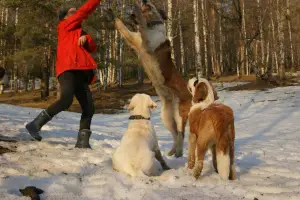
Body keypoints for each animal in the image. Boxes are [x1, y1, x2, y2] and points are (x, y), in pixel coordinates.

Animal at [104, 0, 191, 157]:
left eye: (151, 4)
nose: (144, 1)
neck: (152, 24)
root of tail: (190, 94)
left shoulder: (148, 42)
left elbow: (142, 24)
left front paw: (136, 11)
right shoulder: (133, 39)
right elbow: (121, 25)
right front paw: (111, 14)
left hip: (179, 114)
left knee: (181, 133)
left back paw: (179, 152)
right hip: (166, 117)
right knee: (175, 134)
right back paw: (172, 152)